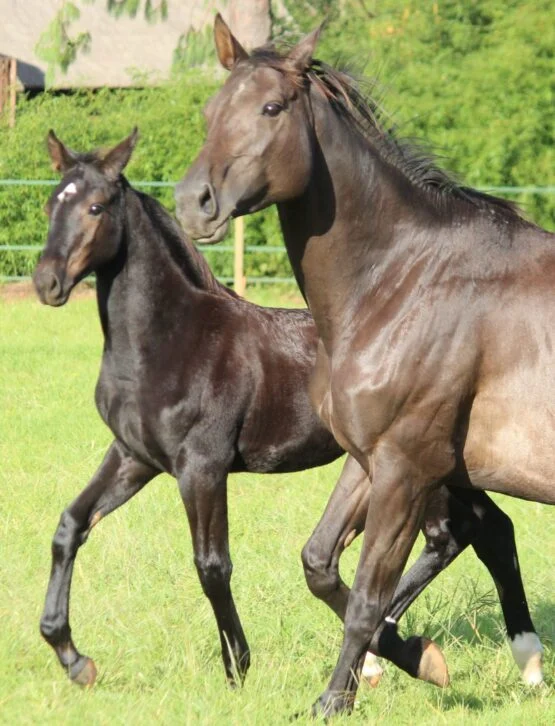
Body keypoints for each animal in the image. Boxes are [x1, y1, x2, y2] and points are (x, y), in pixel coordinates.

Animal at [175, 14, 551, 716]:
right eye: (212, 110)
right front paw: (413, 657)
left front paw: (335, 700)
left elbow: (369, 594)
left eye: (271, 107)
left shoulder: (408, 465)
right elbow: (321, 564)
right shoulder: (368, 457)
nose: (194, 204)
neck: (403, 279)